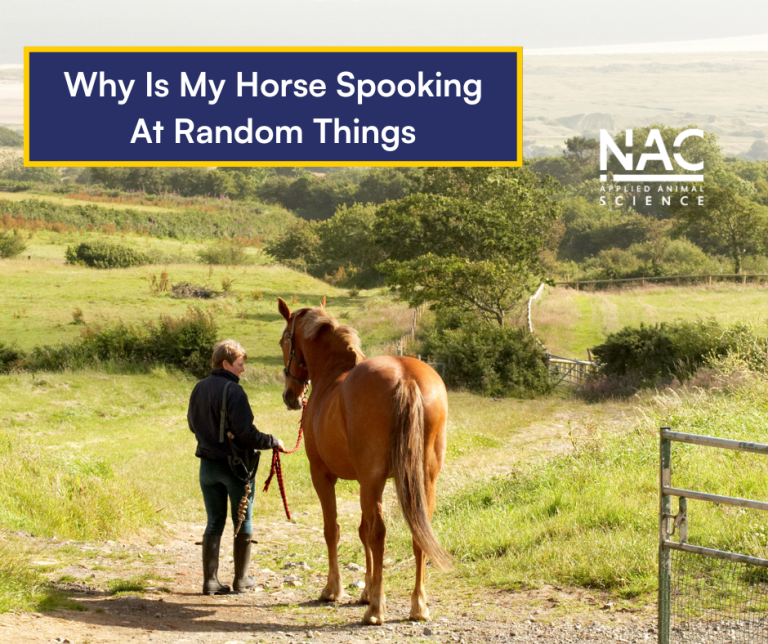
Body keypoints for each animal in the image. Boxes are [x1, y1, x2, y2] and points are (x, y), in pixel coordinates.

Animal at [277, 297, 451, 625]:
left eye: (284, 340)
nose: (290, 397)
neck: (332, 377)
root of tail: (405, 377)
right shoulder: (364, 483)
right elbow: (361, 529)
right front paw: (368, 590)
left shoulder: (323, 475)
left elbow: (334, 529)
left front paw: (334, 589)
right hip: (422, 479)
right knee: (418, 532)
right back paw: (418, 606)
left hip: (373, 478)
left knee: (379, 533)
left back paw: (376, 611)